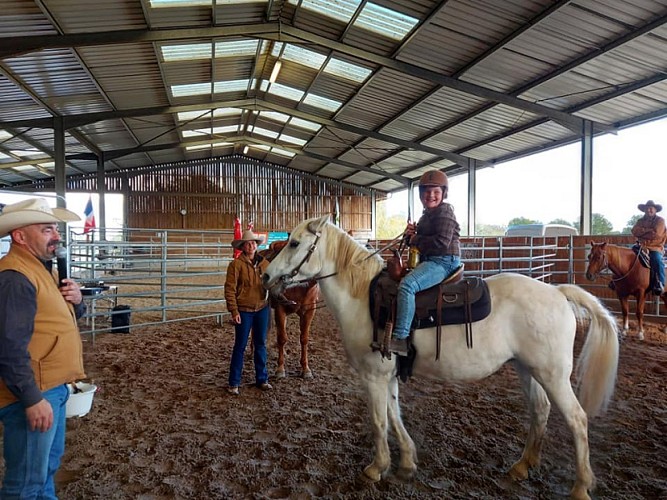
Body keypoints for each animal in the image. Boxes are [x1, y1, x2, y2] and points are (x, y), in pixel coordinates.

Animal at [260, 240, 320, 376]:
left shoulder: (309, 311)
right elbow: (282, 338)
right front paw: (280, 369)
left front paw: (305, 369)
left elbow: (304, 338)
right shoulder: (280, 309)